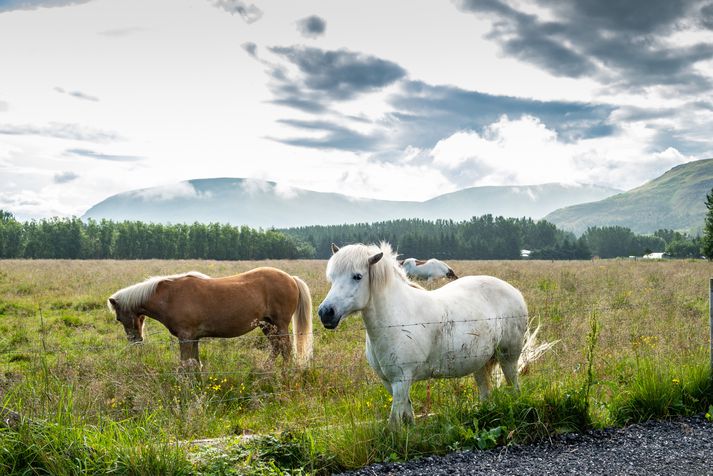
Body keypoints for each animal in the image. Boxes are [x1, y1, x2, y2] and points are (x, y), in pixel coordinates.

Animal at [107, 268, 312, 368]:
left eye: (119, 319)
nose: (136, 341)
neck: (170, 296)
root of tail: (291, 278)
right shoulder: (194, 338)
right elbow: (194, 362)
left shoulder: (186, 337)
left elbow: (185, 363)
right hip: (267, 325)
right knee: (277, 347)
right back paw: (265, 369)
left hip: (279, 324)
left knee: (285, 349)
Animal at [320, 244, 532, 426]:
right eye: (332, 277)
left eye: (357, 276)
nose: (325, 312)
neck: (396, 317)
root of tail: (514, 291)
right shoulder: (389, 382)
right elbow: (407, 414)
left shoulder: (401, 380)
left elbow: (394, 422)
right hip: (480, 362)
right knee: (485, 392)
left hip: (508, 357)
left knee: (514, 386)